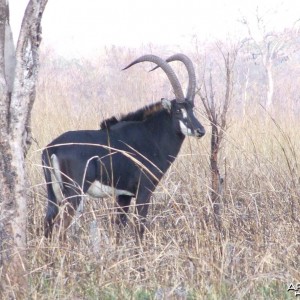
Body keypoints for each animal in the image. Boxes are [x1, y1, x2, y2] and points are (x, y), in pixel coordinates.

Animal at [42, 54, 205, 240]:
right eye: (178, 110)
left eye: (192, 108)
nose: (200, 130)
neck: (151, 136)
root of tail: (52, 148)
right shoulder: (144, 191)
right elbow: (139, 227)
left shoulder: (123, 195)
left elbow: (120, 227)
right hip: (75, 192)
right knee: (61, 227)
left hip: (53, 193)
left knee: (48, 220)